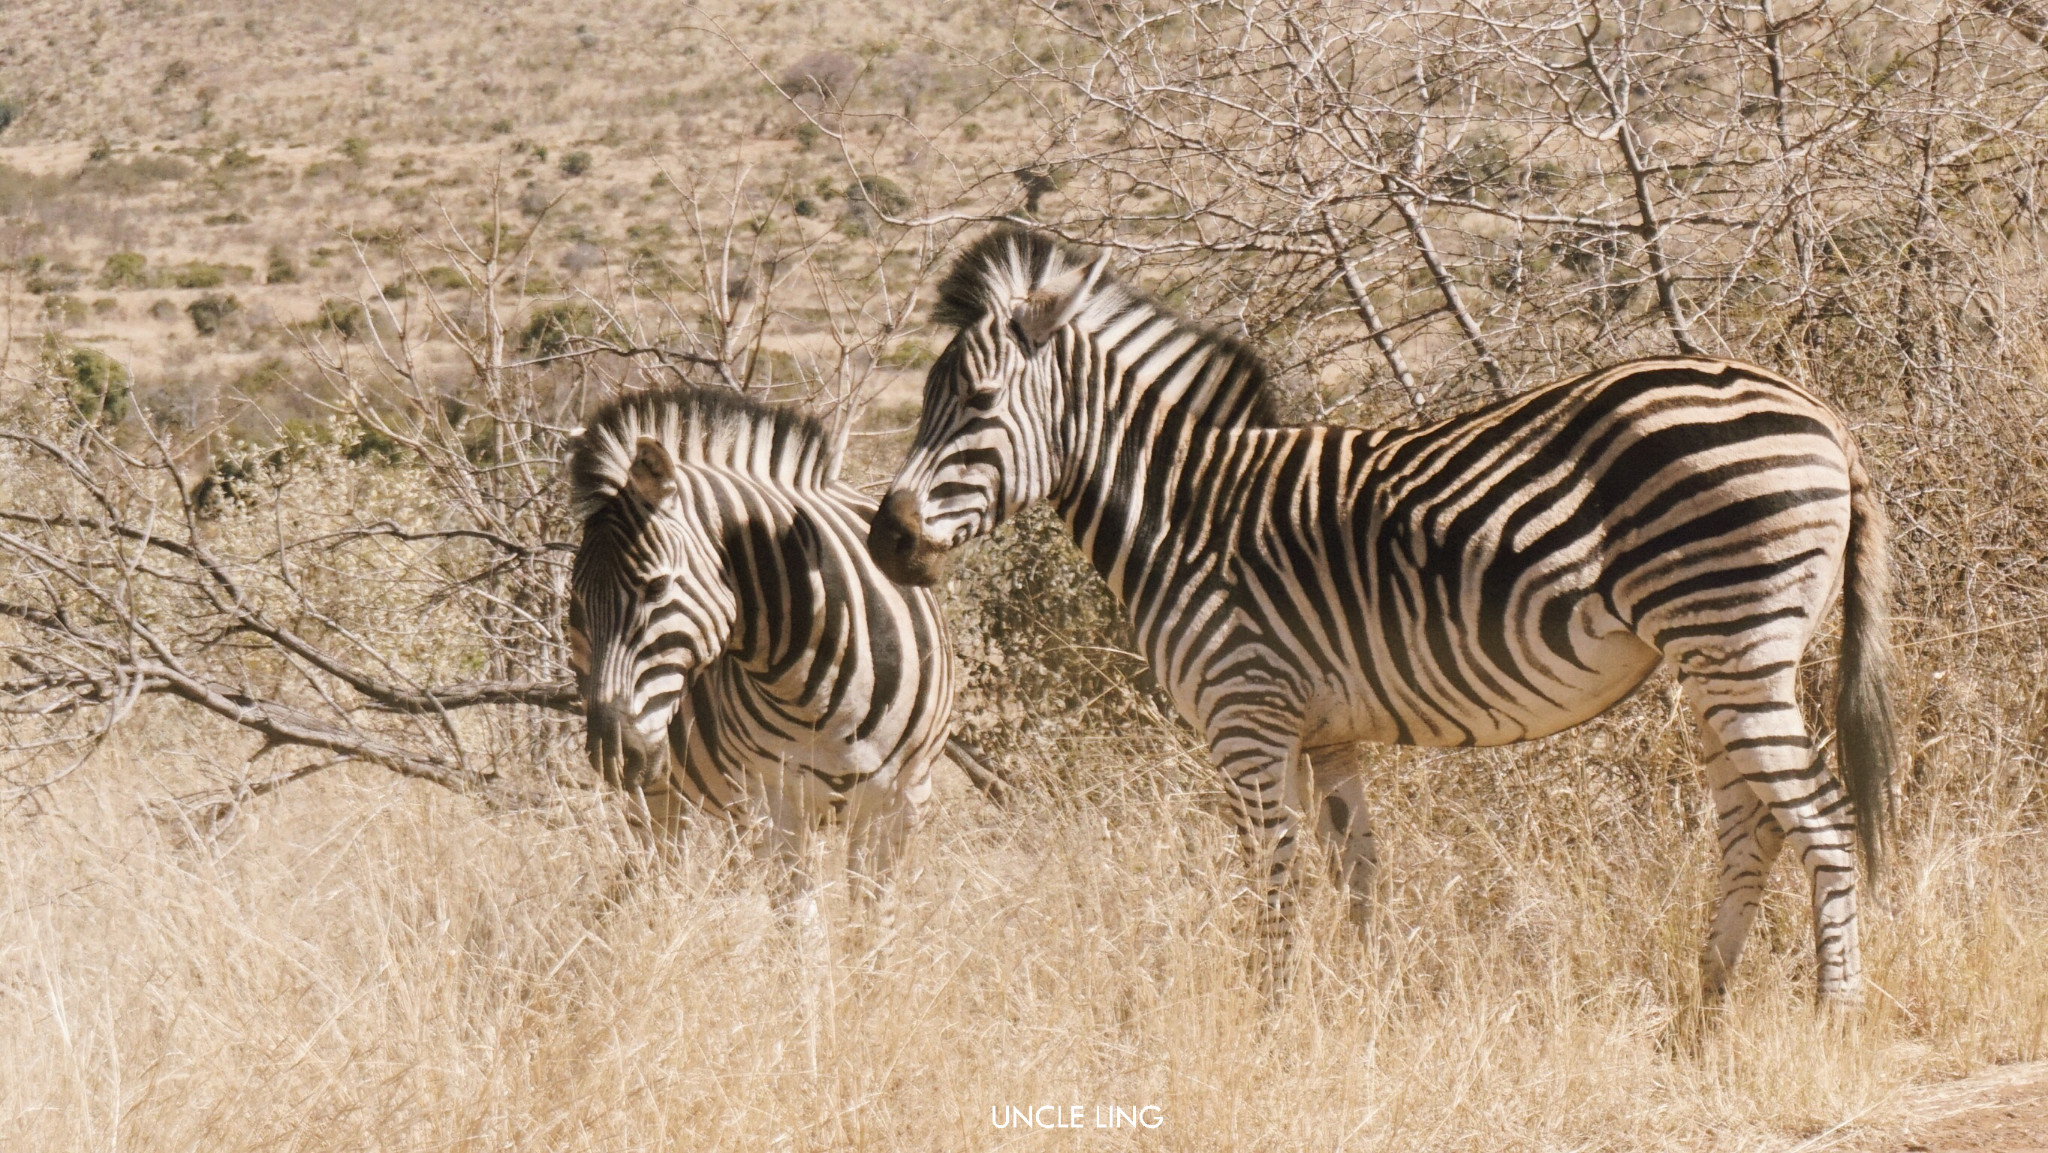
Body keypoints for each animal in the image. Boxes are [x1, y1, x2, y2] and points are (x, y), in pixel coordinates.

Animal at [561, 387, 974, 913]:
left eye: (656, 587)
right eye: (577, 601)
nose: (611, 755)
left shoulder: (902, 803)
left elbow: (872, 918)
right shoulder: (776, 803)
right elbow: (801, 922)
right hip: (660, 785)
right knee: (660, 860)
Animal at [868, 230, 1900, 1007]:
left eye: (980, 402)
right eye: (924, 402)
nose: (887, 540)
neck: (1185, 511)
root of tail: (1822, 413)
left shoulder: (1246, 712)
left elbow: (1273, 871)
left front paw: (1272, 1011)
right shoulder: (1327, 731)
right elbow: (1356, 870)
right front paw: (1369, 998)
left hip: (1734, 644)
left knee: (1823, 818)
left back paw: (1833, 1011)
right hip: (1722, 661)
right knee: (1754, 826)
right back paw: (1705, 1004)